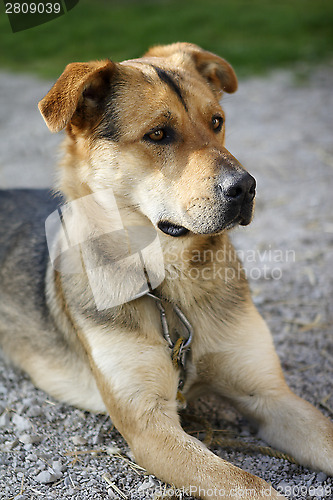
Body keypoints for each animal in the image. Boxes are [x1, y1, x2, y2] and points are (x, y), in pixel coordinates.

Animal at [0, 42, 332, 496]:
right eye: (158, 134)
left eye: (217, 122)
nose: (246, 188)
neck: (171, 286)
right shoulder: (150, 425)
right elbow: (250, 484)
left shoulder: (270, 395)